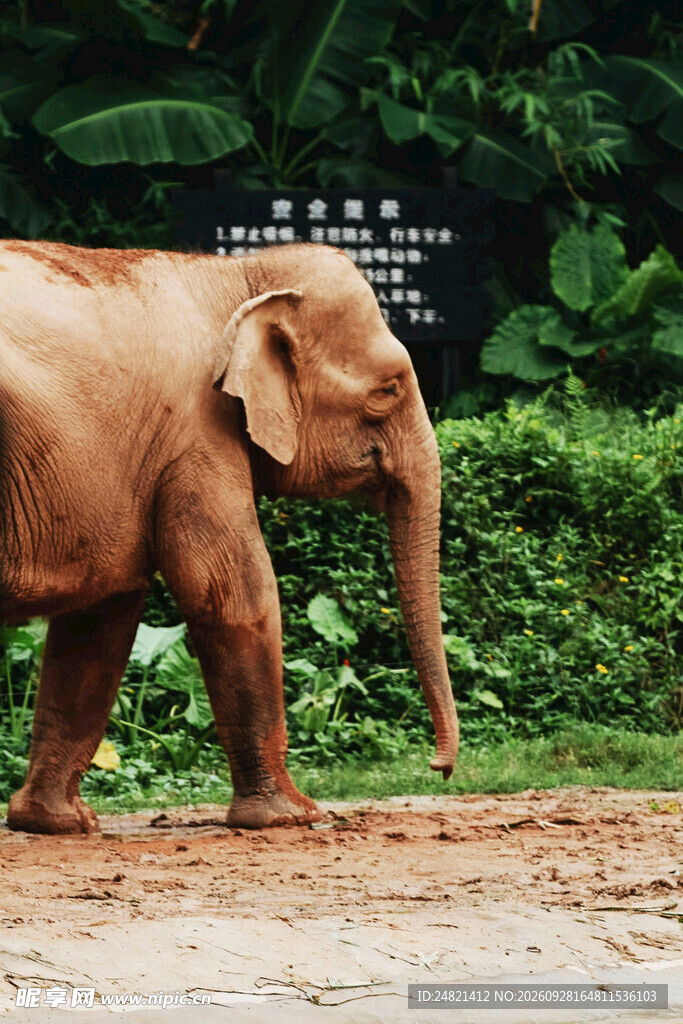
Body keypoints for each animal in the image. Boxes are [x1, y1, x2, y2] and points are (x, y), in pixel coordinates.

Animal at [0, 239, 459, 834]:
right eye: (388, 389)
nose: (439, 768)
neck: (238, 274)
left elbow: (101, 619)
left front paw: (57, 824)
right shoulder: (197, 436)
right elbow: (234, 593)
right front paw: (291, 816)